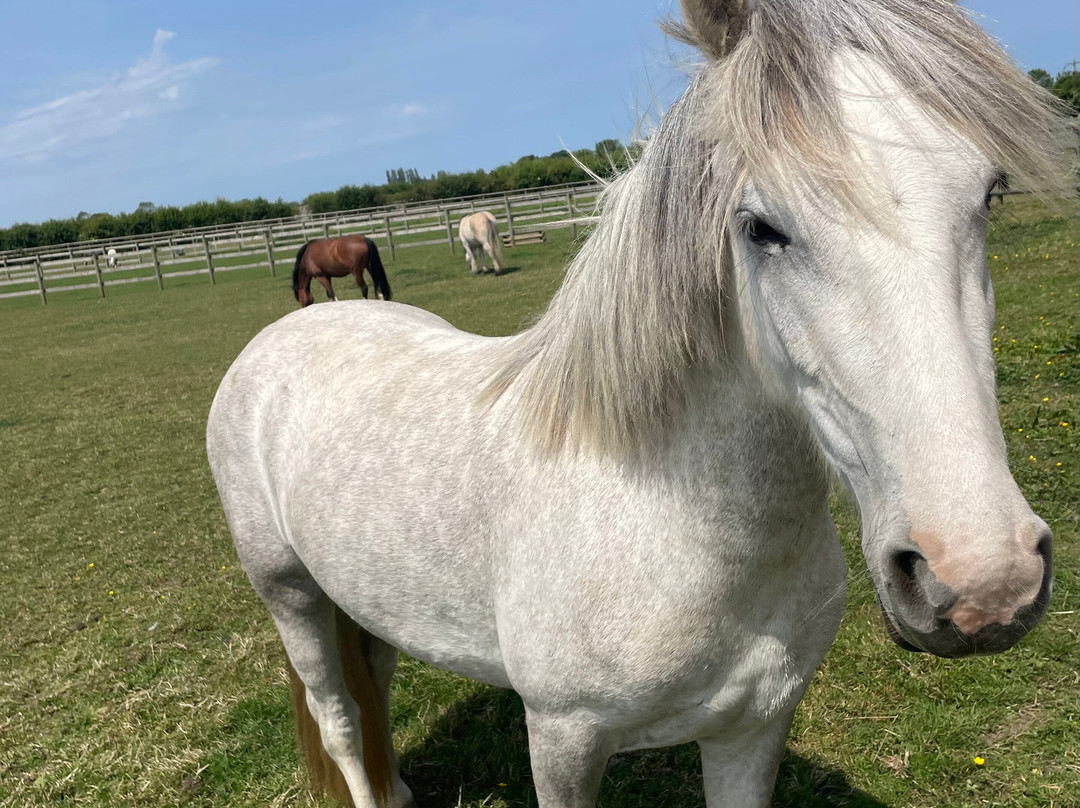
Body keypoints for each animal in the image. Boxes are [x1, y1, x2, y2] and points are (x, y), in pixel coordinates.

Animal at [207, 1, 1070, 805]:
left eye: (989, 195)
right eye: (760, 228)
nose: (985, 581)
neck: (668, 522)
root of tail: (278, 337)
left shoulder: (753, 730)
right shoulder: (563, 743)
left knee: (374, 690)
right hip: (291, 596)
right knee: (340, 719)